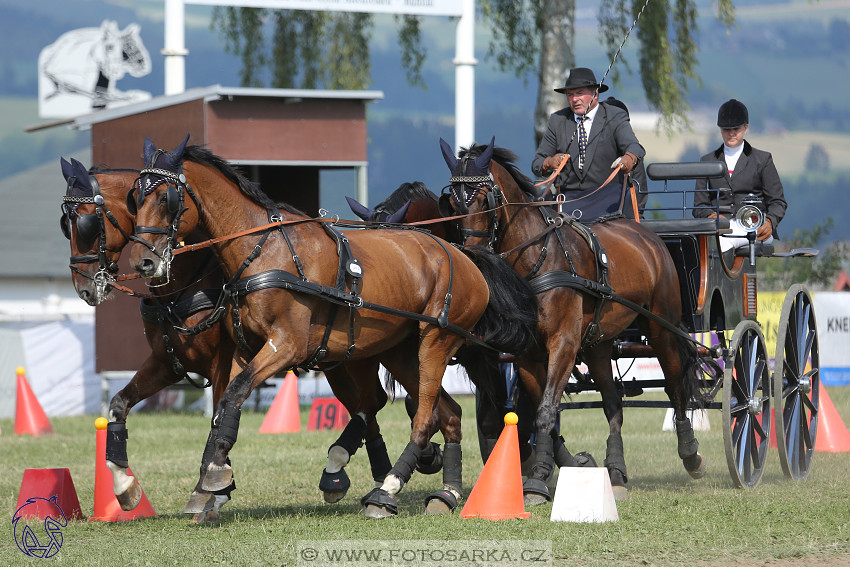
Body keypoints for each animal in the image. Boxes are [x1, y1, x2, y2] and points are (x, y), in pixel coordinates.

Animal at [124, 138, 536, 520]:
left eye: (165, 198)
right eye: (135, 198)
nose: (143, 261)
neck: (264, 251)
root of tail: (463, 255)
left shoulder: (286, 346)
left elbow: (233, 395)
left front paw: (213, 475)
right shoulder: (246, 349)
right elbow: (226, 403)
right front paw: (212, 478)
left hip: (435, 340)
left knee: (423, 418)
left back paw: (386, 492)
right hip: (400, 352)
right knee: (446, 414)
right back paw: (445, 494)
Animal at [440, 140, 704, 504]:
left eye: (482, 198)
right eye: (452, 202)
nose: (471, 256)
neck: (538, 258)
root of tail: (644, 233)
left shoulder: (563, 344)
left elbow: (545, 410)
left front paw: (537, 480)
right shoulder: (527, 354)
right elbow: (544, 413)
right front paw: (551, 468)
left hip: (661, 327)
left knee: (676, 385)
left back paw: (691, 454)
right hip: (598, 343)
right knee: (613, 402)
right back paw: (616, 472)